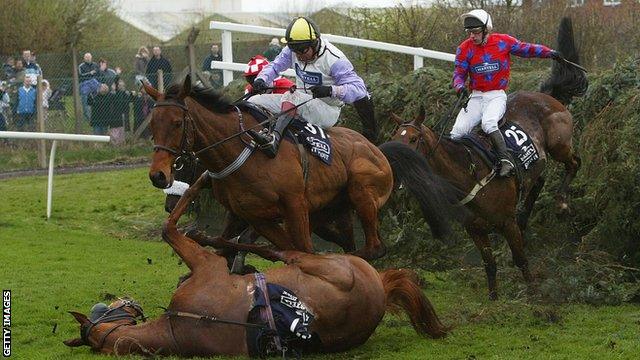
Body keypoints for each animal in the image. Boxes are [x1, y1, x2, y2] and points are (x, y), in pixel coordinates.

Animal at [63, 172, 444, 358]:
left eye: (106, 305)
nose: (127, 300)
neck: (177, 328)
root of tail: (381, 287)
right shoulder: (208, 269)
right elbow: (169, 229)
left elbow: (170, 228)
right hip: (323, 263)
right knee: (281, 250)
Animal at [388, 17, 588, 298]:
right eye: (395, 137)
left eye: (414, 139)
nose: (396, 166)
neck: (468, 173)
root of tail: (547, 95)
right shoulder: (475, 228)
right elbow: (488, 263)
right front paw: (493, 297)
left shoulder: (505, 222)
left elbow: (520, 259)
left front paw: (534, 292)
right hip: (535, 164)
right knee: (537, 181)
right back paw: (526, 215)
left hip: (559, 144)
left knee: (574, 163)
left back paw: (561, 203)